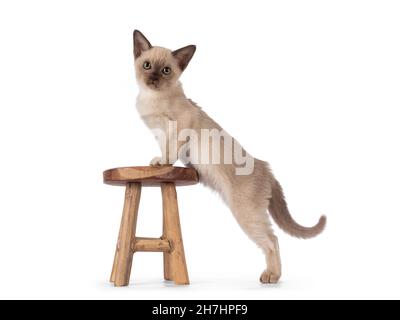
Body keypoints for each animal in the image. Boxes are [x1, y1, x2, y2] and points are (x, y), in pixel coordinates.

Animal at [132, 30, 324, 284]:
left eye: (165, 70)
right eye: (147, 65)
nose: (153, 78)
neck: (151, 98)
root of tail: (266, 169)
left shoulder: (180, 127)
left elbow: (170, 151)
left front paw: (161, 163)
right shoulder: (160, 134)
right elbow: (166, 149)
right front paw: (158, 161)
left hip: (246, 214)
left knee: (272, 241)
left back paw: (271, 277)